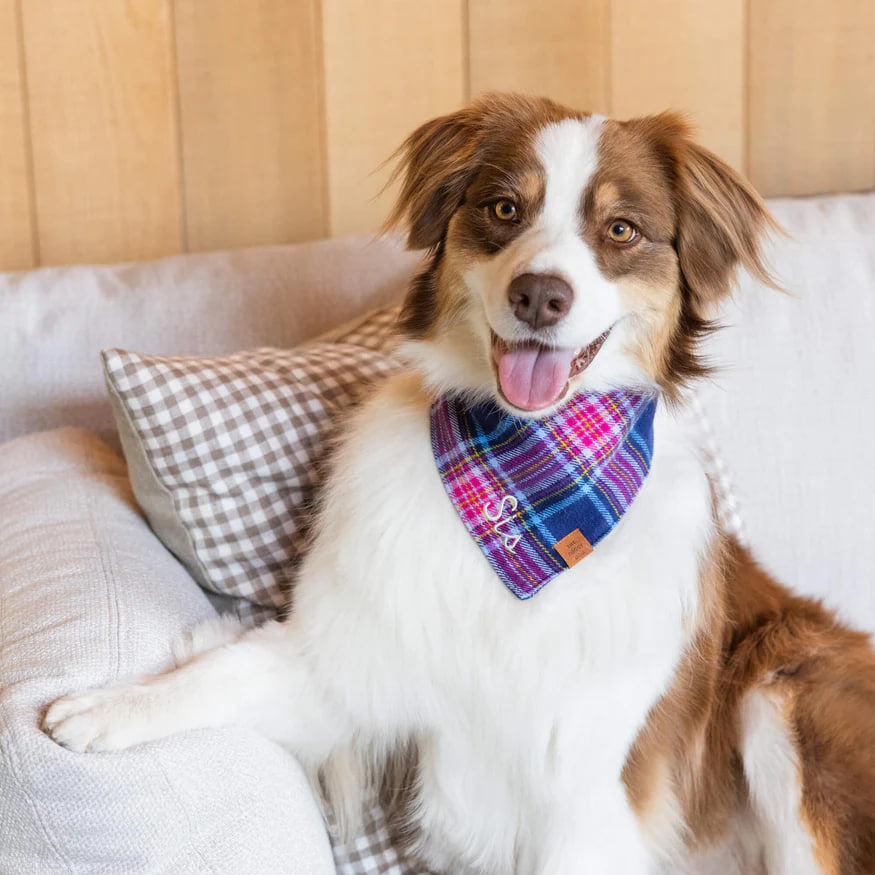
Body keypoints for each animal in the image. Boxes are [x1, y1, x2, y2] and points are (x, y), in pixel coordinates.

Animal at [46, 92, 875, 872]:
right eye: (504, 208)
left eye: (620, 230)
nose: (538, 294)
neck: (522, 481)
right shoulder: (345, 657)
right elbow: (220, 672)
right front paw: (107, 707)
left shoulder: (585, 793)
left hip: (785, 690)